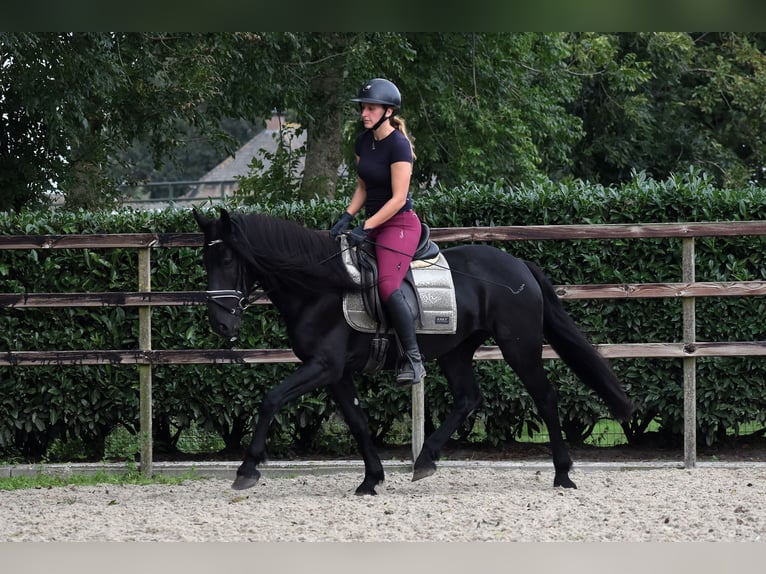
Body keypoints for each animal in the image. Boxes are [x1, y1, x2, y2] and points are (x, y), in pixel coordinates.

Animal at [194, 208, 636, 496]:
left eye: (228, 257)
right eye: (205, 258)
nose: (221, 324)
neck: (320, 287)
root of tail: (518, 265)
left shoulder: (323, 366)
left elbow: (271, 399)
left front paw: (247, 468)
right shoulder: (336, 373)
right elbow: (357, 421)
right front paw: (371, 479)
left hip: (519, 345)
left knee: (545, 397)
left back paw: (563, 474)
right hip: (457, 351)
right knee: (468, 398)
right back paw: (425, 460)